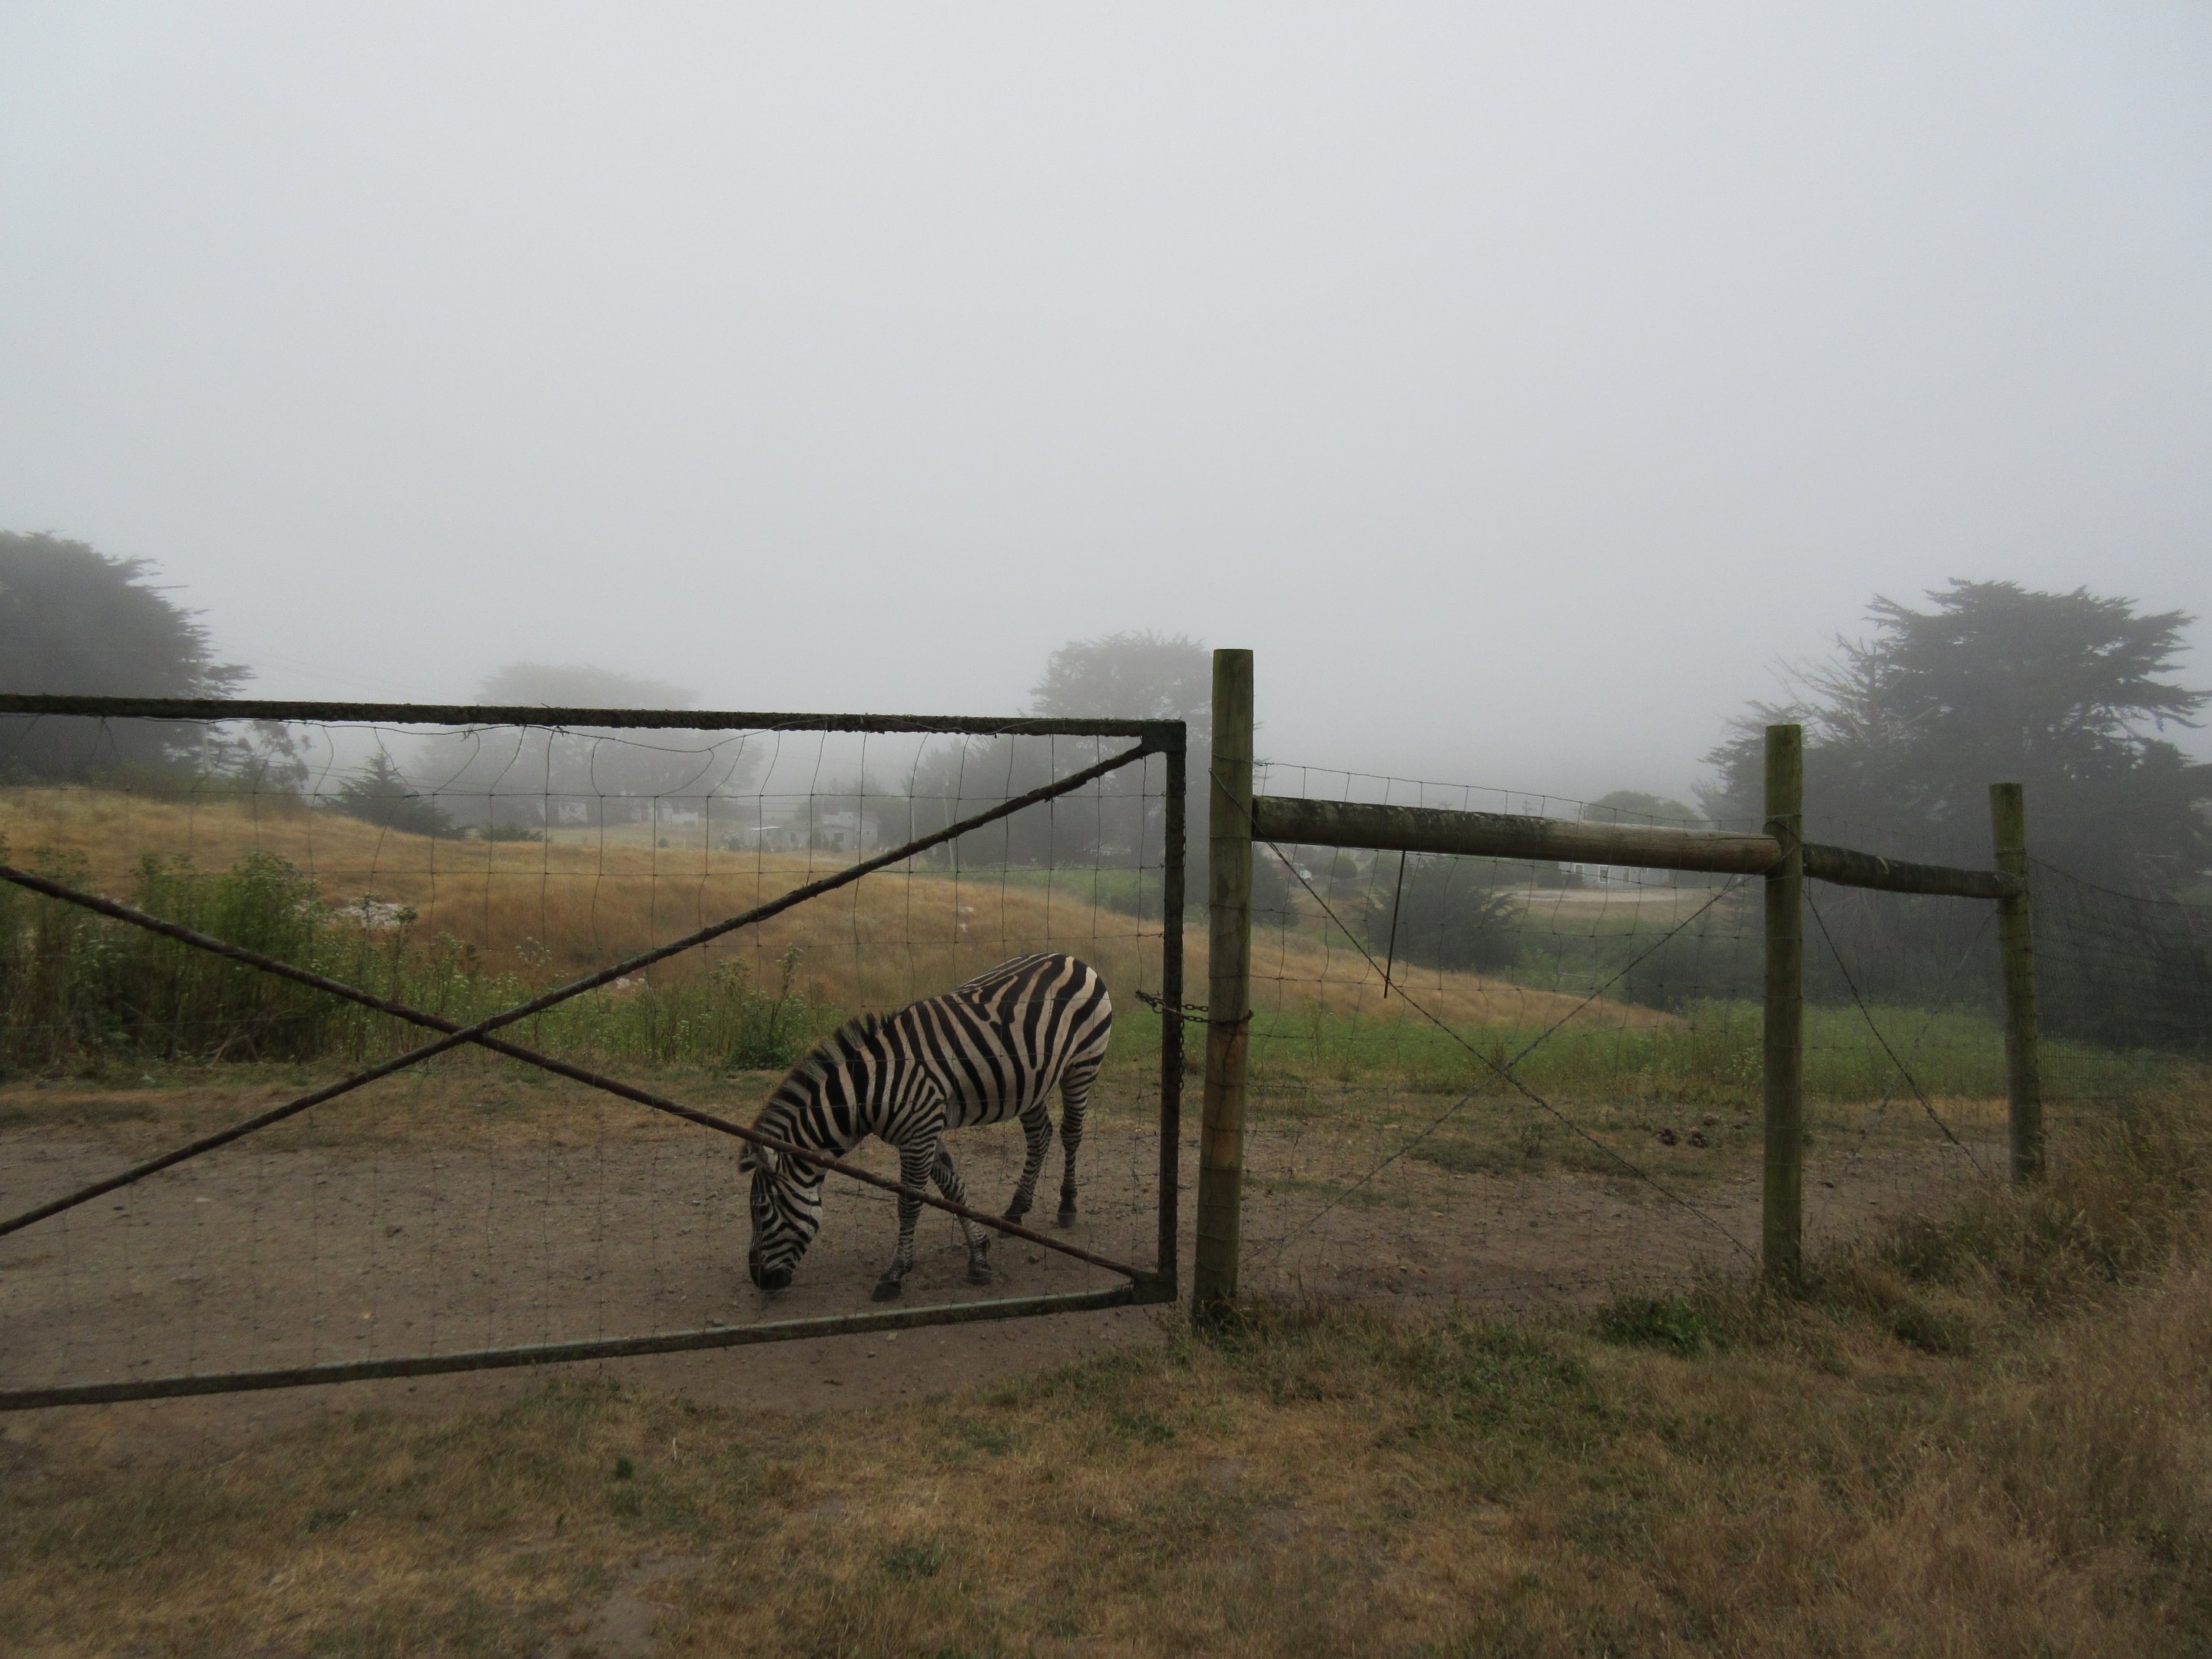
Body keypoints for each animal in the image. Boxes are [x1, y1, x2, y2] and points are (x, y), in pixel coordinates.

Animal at [740, 951, 1112, 1301]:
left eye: (762, 1210)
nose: (759, 1281)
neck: (870, 1087)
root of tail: (1068, 957)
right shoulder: (924, 1131)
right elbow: (953, 1190)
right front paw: (979, 1256)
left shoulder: (919, 1133)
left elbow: (909, 1205)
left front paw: (894, 1274)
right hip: (1029, 1082)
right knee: (1040, 1136)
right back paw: (1016, 1210)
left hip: (1083, 1063)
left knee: (1071, 1133)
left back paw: (1067, 1206)